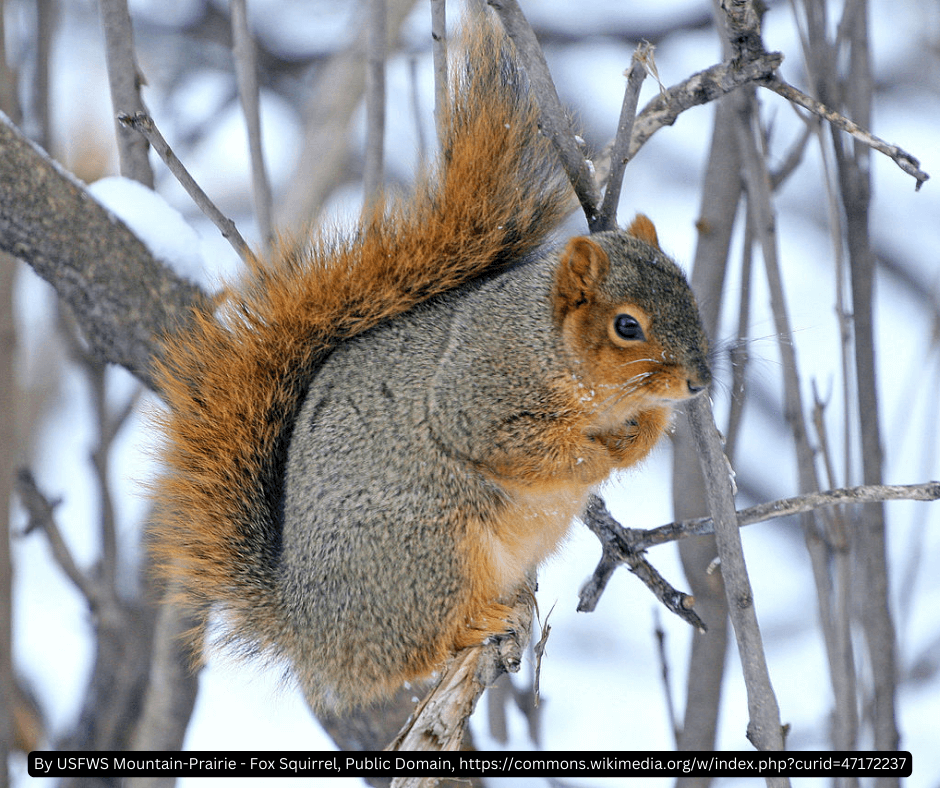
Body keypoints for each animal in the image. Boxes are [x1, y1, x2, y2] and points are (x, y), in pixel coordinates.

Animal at [152, 10, 712, 716]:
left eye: (689, 289)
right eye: (627, 326)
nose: (700, 382)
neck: (559, 355)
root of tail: (305, 628)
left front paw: (637, 439)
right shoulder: (477, 394)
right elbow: (518, 447)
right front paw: (594, 459)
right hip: (433, 550)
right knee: (411, 653)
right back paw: (475, 625)